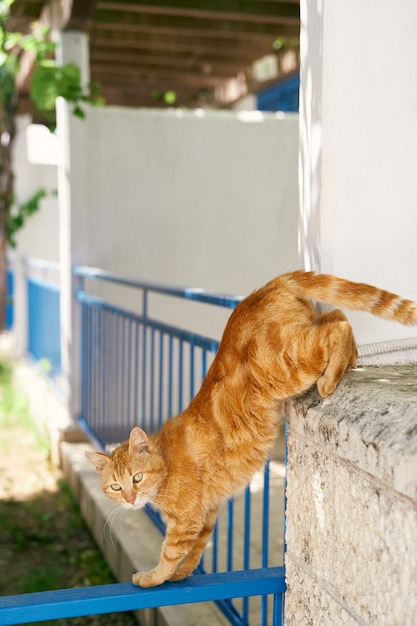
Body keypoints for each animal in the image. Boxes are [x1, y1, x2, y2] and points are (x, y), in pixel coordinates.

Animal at [85, 270, 416, 584]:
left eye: (136, 478)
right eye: (115, 486)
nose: (129, 499)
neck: (165, 467)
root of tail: (268, 286)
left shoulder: (184, 522)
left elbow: (169, 555)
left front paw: (154, 577)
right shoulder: (207, 514)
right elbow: (196, 552)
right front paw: (182, 574)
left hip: (288, 363)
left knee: (338, 327)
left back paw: (330, 378)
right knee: (337, 316)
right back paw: (350, 359)